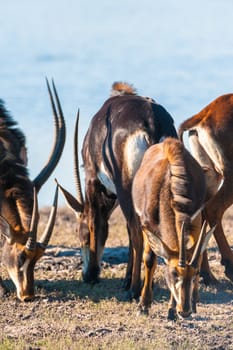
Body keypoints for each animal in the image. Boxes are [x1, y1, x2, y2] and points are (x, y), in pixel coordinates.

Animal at [57, 81, 177, 298]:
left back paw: (134, 290)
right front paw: (126, 279)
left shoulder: (92, 180)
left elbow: (97, 223)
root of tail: (152, 122)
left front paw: (96, 275)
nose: (86, 275)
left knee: (136, 232)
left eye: (80, 232)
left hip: (126, 188)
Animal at [133, 137, 215, 320]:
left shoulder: (195, 220)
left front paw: (171, 310)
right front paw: (143, 305)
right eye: (173, 274)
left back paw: (193, 301)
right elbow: (150, 259)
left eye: (194, 274)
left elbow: (197, 256)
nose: (184, 311)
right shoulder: (145, 224)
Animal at [179, 93, 233, 284]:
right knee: (213, 209)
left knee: (201, 214)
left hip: (211, 176)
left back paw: (206, 274)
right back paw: (229, 266)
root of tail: (205, 114)